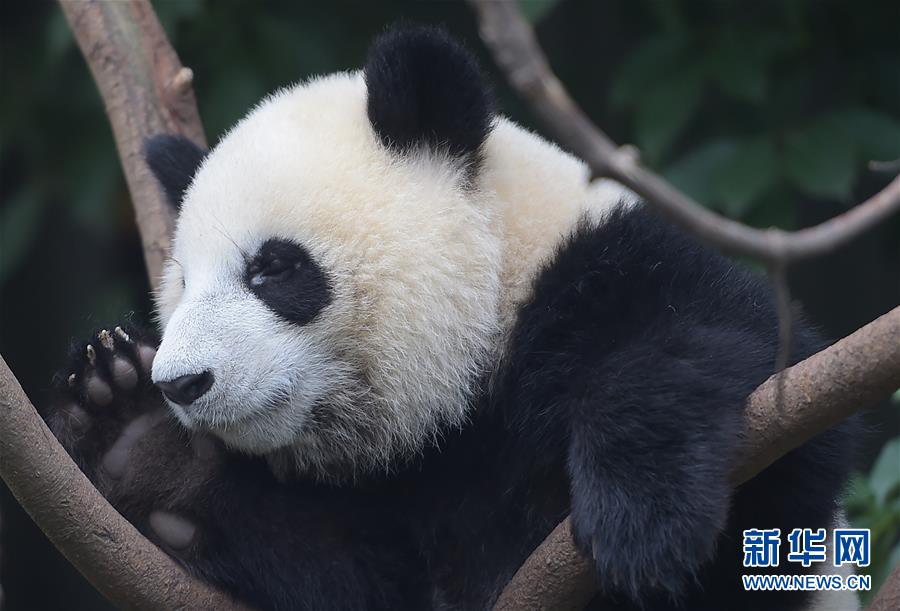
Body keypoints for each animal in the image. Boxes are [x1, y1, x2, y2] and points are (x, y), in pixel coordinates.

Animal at [45, 25, 858, 611]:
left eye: (273, 268)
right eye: (182, 283)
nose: (181, 383)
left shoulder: (612, 266)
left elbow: (745, 379)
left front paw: (644, 522)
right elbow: (360, 575)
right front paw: (138, 437)